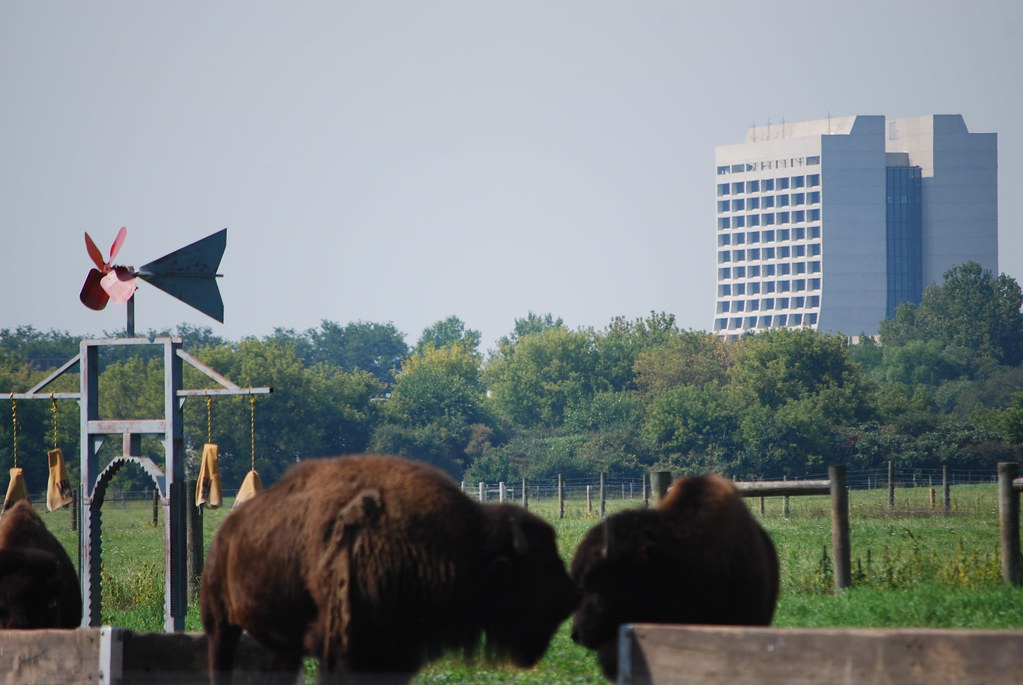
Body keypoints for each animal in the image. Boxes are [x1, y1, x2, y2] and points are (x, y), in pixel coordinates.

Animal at [201, 455, 579, 683]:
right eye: (533, 569)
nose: (569, 600)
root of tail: (227, 530)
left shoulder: (398, 651)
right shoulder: (345, 648)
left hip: (283, 642)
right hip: (220, 623)